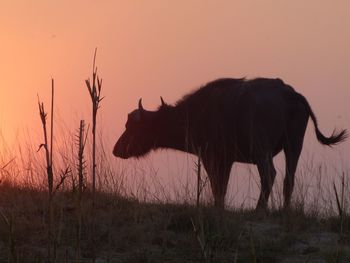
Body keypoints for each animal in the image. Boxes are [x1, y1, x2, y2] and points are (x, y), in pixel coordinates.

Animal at [113, 78, 348, 210]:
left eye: (131, 127)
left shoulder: (211, 158)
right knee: (288, 178)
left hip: (261, 149)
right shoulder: (227, 161)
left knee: (269, 174)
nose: (116, 150)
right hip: (294, 145)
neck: (194, 114)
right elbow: (222, 187)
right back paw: (285, 209)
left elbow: (217, 185)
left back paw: (259, 208)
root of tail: (290, 94)